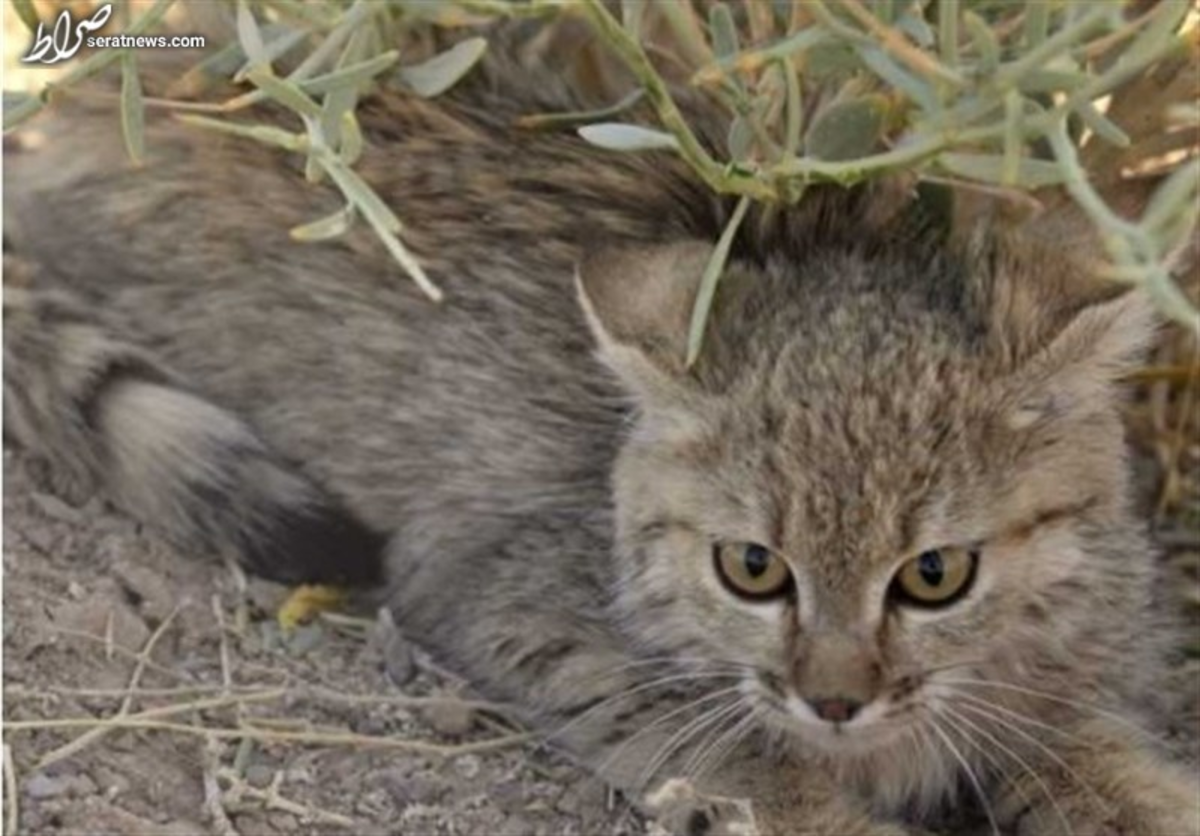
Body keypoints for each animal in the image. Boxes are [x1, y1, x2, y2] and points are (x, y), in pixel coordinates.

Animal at [4, 48, 1195, 830]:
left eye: (935, 575)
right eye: (752, 567)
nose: (834, 699)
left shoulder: (1071, 680)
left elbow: (1098, 755)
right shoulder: (509, 598)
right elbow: (741, 752)